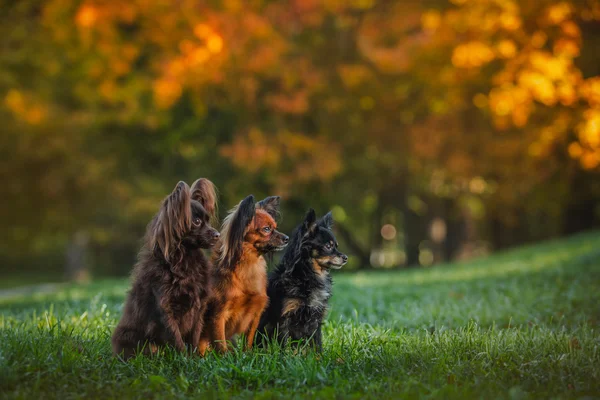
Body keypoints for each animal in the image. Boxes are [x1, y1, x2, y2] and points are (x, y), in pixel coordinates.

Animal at [111, 178, 219, 360]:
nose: (217, 235)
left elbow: (194, 337)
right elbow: (176, 338)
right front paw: (184, 359)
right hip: (131, 337)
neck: (185, 258)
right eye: (197, 222)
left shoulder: (199, 309)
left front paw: (195, 358)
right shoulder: (165, 311)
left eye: (208, 220)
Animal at [198, 195, 290, 354]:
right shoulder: (218, 315)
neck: (248, 264)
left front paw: (247, 354)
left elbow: (249, 340)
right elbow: (220, 343)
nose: (287, 238)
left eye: (275, 227)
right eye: (266, 229)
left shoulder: (255, 314)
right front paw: (223, 357)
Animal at [256, 209, 346, 350]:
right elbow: (284, 343)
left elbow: (316, 343)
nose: (346, 257)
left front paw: (319, 355)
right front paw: (284, 355)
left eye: (336, 246)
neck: (309, 274)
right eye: (328, 246)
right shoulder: (283, 318)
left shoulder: (316, 319)